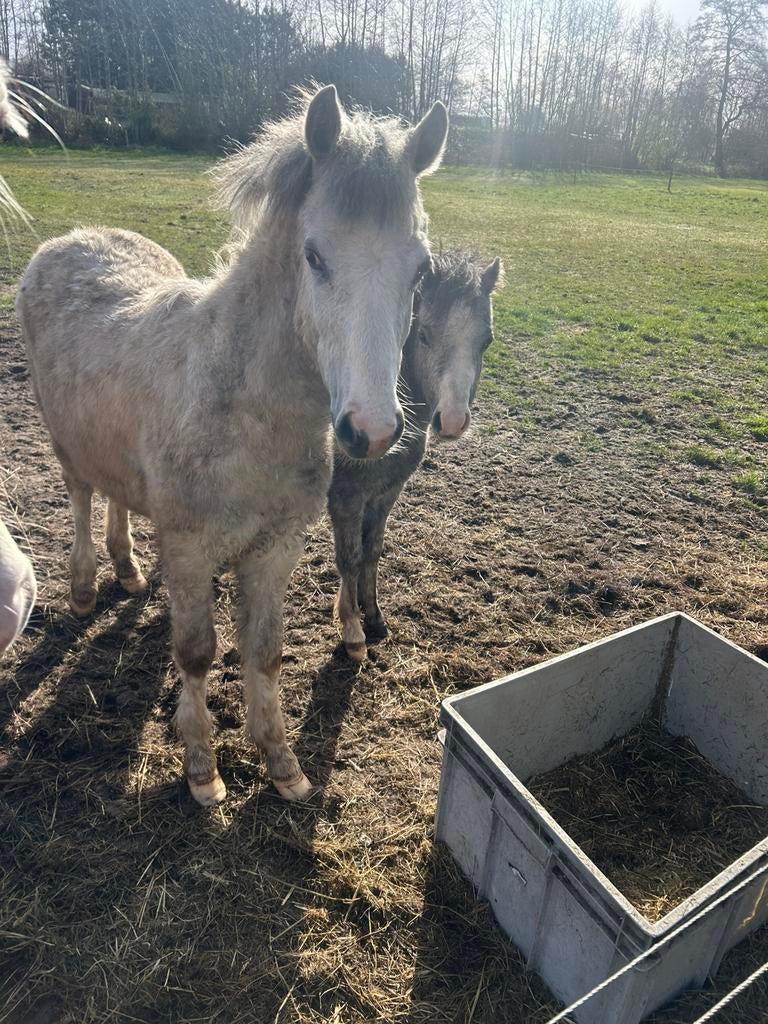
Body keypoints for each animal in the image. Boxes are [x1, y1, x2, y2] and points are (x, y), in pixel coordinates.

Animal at [16, 85, 448, 805]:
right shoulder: (191, 552)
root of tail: (69, 240)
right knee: (80, 496)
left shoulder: (276, 549)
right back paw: (82, 589)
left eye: (420, 271)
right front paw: (201, 770)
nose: (372, 430)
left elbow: (264, 653)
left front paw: (282, 764)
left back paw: (128, 571)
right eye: (314, 256)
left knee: (116, 494)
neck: (245, 411)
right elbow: (195, 654)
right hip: (63, 441)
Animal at [328, 251, 503, 660]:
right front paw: (352, 631)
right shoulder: (345, 497)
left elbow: (372, 550)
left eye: (486, 340)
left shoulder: (386, 492)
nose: (452, 421)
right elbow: (349, 557)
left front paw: (374, 616)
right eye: (421, 334)